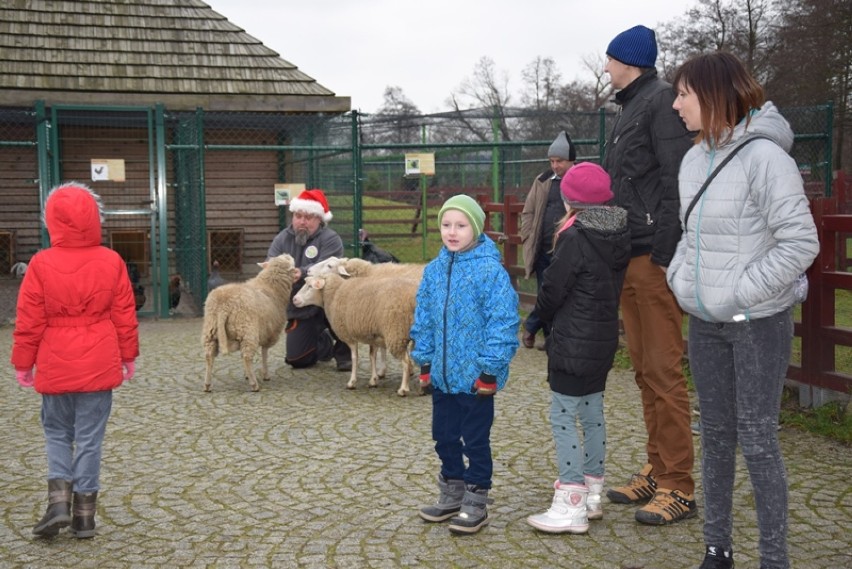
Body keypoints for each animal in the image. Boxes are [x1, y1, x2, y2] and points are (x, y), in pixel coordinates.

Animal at [203, 253, 300, 390]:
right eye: (289, 260)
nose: (288, 254)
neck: (270, 287)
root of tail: (223, 305)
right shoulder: (269, 332)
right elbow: (265, 353)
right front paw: (265, 374)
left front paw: (247, 375)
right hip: (248, 329)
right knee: (247, 356)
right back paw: (255, 384)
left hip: (210, 331)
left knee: (209, 355)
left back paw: (207, 385)